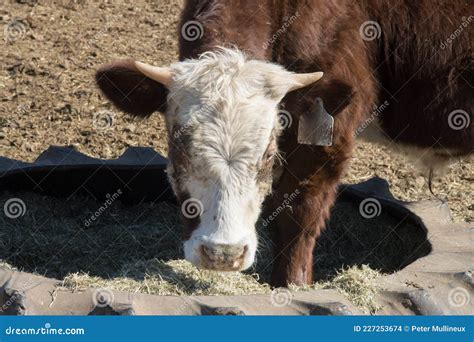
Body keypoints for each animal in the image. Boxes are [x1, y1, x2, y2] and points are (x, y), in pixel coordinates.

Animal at [94, 0, 472, 286]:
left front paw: (290, 285)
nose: (223, 254)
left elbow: (298, 212)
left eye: (268, 154)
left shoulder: (328, 132)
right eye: (178, 145)